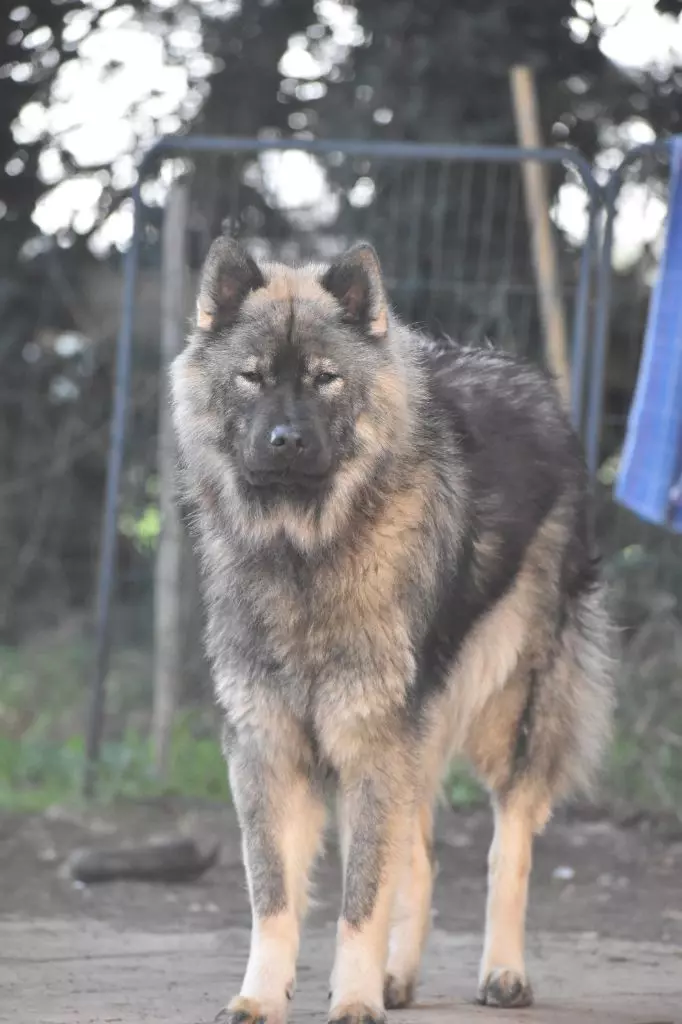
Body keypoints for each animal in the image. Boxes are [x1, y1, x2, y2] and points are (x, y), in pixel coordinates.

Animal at [169, 237, 610, 1024]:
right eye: (252, 378)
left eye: (326, 380)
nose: (286, 439)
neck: (307, 553)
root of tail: (539, 387)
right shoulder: (269, 746)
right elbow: (274, 897)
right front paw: (262, 997)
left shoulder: (371, 741)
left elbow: (361, 899)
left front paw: (353, 999)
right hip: (420, 731)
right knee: (422, 857)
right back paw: (399, 978)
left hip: (507, 710)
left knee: (509, 844)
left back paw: (503, 972)